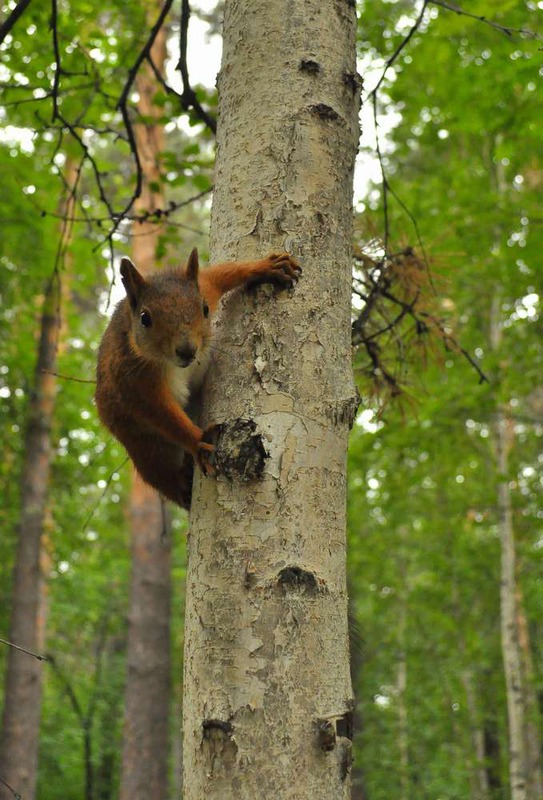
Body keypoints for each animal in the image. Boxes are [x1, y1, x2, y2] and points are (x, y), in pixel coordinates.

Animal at [96, 250, 304, 510]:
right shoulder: (131, 379)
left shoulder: (206, 286)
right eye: (145, 318)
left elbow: (220, 275)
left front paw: (266, 267)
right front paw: (199, 442)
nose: (187, 351)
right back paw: (182, 483)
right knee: (160, 470)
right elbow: (161, 414)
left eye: (205, 309)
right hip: (145, 446)